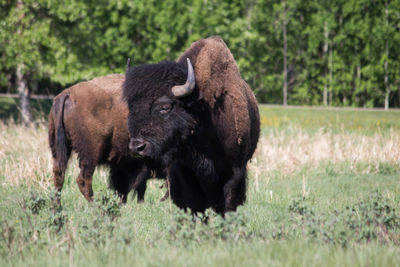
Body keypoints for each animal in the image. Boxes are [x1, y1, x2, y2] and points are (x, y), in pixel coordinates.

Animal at [47, 72, 149, 204]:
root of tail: (68, 93)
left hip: (58, 147)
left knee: (59, 174)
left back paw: (57, 207)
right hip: (90, 153)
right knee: (83, 180)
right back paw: (96, 205)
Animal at [123, 36, 260, 215]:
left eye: (165, 107)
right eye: (131, 107)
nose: (137, 147)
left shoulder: (235, 172)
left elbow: (228, 204)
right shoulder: (185, 172)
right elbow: (194, 204)